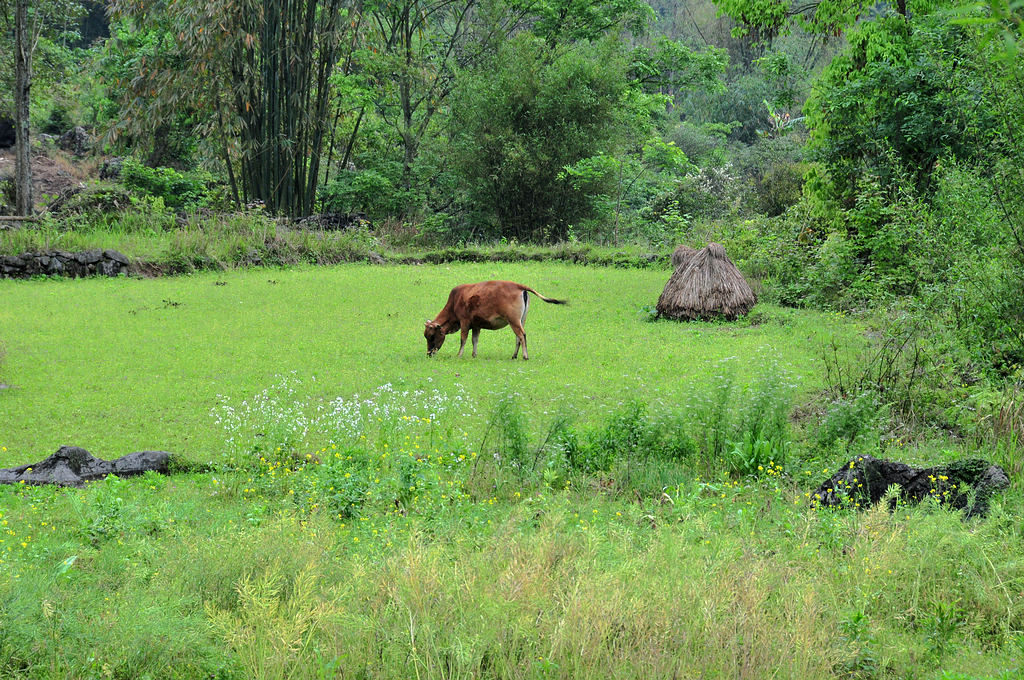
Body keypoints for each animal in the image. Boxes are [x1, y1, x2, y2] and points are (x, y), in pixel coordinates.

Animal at [423, 278, 569, 358]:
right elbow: (474, 340)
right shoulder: (476, 325)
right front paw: (474, 355)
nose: (429, 353)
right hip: (521, 320)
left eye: (432, 336)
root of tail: (518, 286)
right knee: (518, 337)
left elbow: (463, 339)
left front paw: (459, 355)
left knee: (522, 335)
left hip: (514, 321)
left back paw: (525, 356)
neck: (455, 301)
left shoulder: (464, 322)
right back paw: (514, 355)